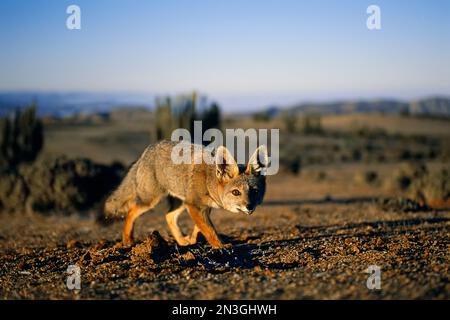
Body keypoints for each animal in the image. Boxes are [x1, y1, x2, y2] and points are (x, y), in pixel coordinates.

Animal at [104, 141, 268, 249]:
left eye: (255, 191)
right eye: (236, 192)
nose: (249, 206)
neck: (209, 179)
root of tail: (148, 149)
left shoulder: (202, 206)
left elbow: (200, 227)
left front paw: (193, 240)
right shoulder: (194, 205)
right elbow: (209, 230)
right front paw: (220, 246)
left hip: (180, 201)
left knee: (168, 216)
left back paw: (182, 242)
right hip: (151, 200)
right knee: (131, 211)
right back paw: (127, 241)